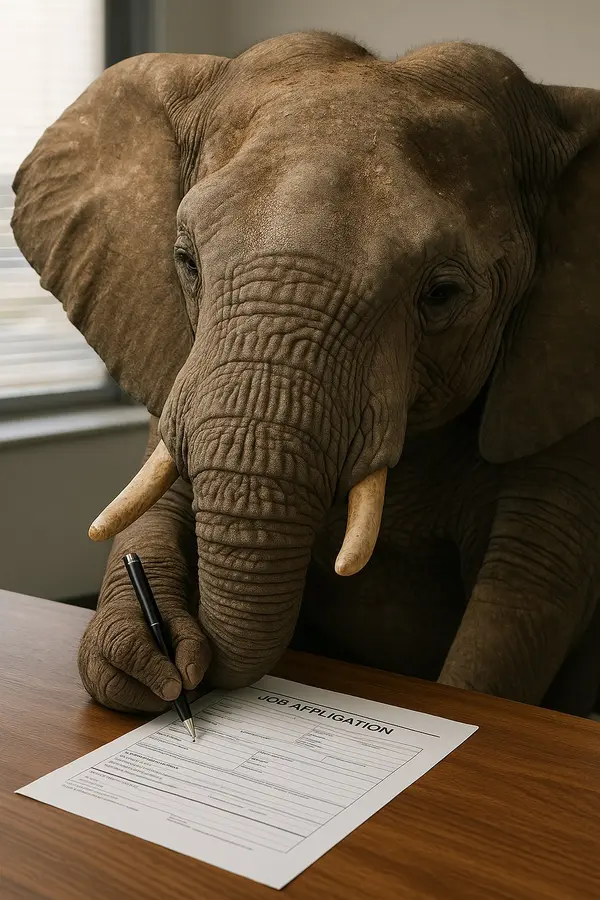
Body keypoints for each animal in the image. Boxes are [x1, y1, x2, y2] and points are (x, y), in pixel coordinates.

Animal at [11, 32, 600, 718]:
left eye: (442, 295)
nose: (194, 674)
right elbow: (160, 497)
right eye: (186, 262)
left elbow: (527, 586)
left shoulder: (564, 374)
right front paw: (147, 662)